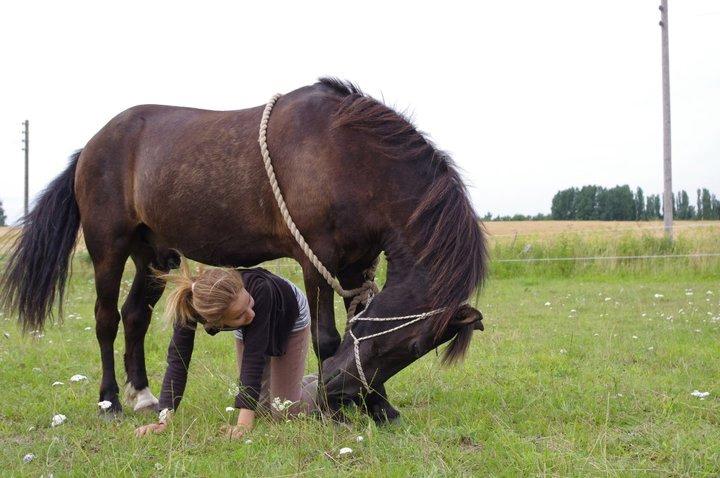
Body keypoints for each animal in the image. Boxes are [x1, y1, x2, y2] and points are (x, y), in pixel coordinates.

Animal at [1, 79, 490, 422]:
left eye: (417, 347)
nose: (333, 391)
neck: (350, 157)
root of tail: (92, 144)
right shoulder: (318, 261)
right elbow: (328, 338)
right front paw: (345, 412)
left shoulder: (355, 267)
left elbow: (355, 329)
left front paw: (379, 409)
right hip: (109, 246)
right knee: (105, 319)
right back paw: (110, 403)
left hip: (154, 255)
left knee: (135, 315)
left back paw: (143, 396)